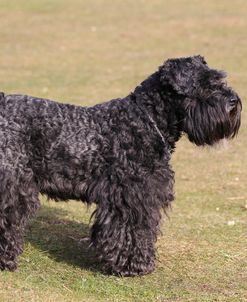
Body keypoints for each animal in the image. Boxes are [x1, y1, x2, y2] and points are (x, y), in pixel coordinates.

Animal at [0, 54, 241, 276]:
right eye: (204, 84)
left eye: (219, 79)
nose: (233, 101)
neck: (144, 121)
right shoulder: (130, 196)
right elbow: (131, 231)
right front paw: (131, 266)